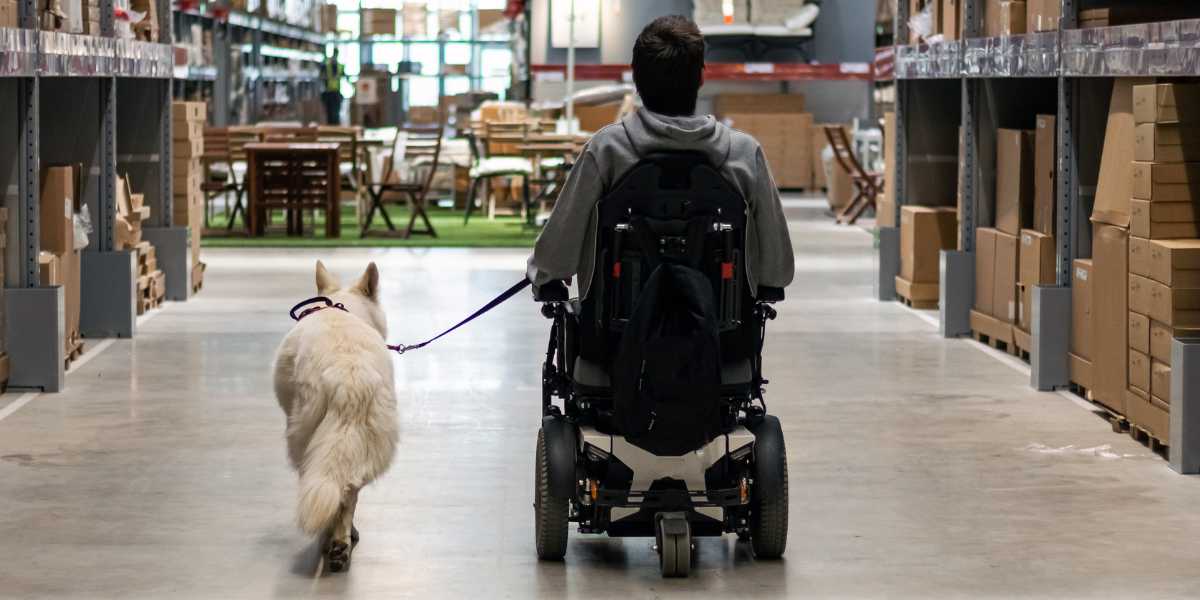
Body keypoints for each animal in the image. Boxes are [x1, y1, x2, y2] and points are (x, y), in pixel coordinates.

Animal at [273, 261, 398, 571]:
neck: (342, 308)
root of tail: (348, 378)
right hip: (360, 437)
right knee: (348, 490)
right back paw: (342, 542)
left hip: (302, 436)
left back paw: (332, 540)